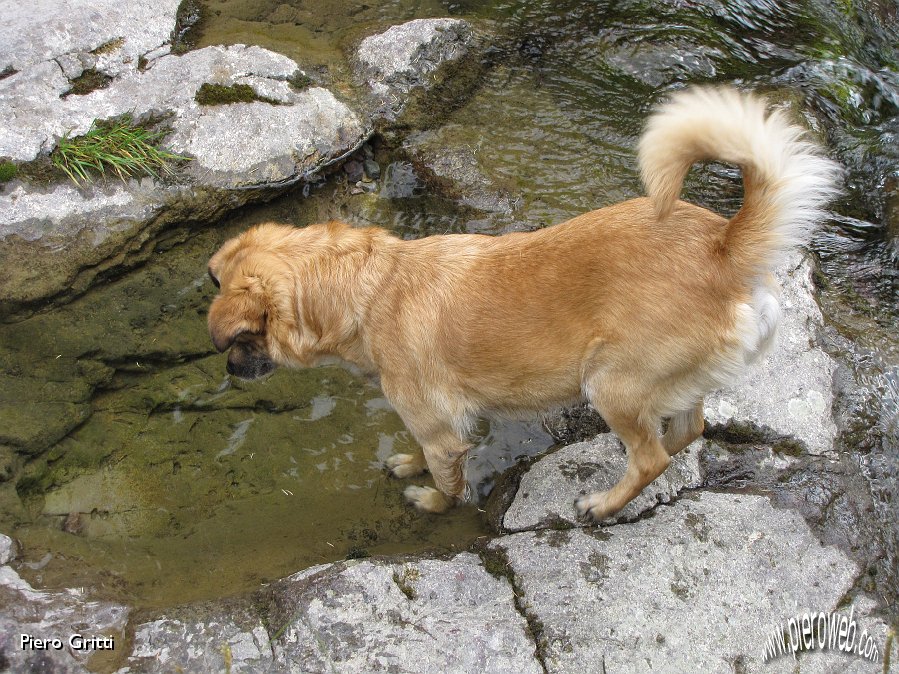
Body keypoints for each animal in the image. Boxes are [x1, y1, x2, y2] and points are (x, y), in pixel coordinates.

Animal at [207, 86, 840, 520]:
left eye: (240, 342)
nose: (231, 372)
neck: (372, 284)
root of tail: (723, 248)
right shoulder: (443, 424)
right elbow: (425, 451)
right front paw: (409, 463)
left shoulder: (440, 429)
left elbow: (447, 479)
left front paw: (431, 500)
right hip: (667, 385)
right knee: (686, 431)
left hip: (608, 383)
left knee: (651, 457)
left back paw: (603, 504)